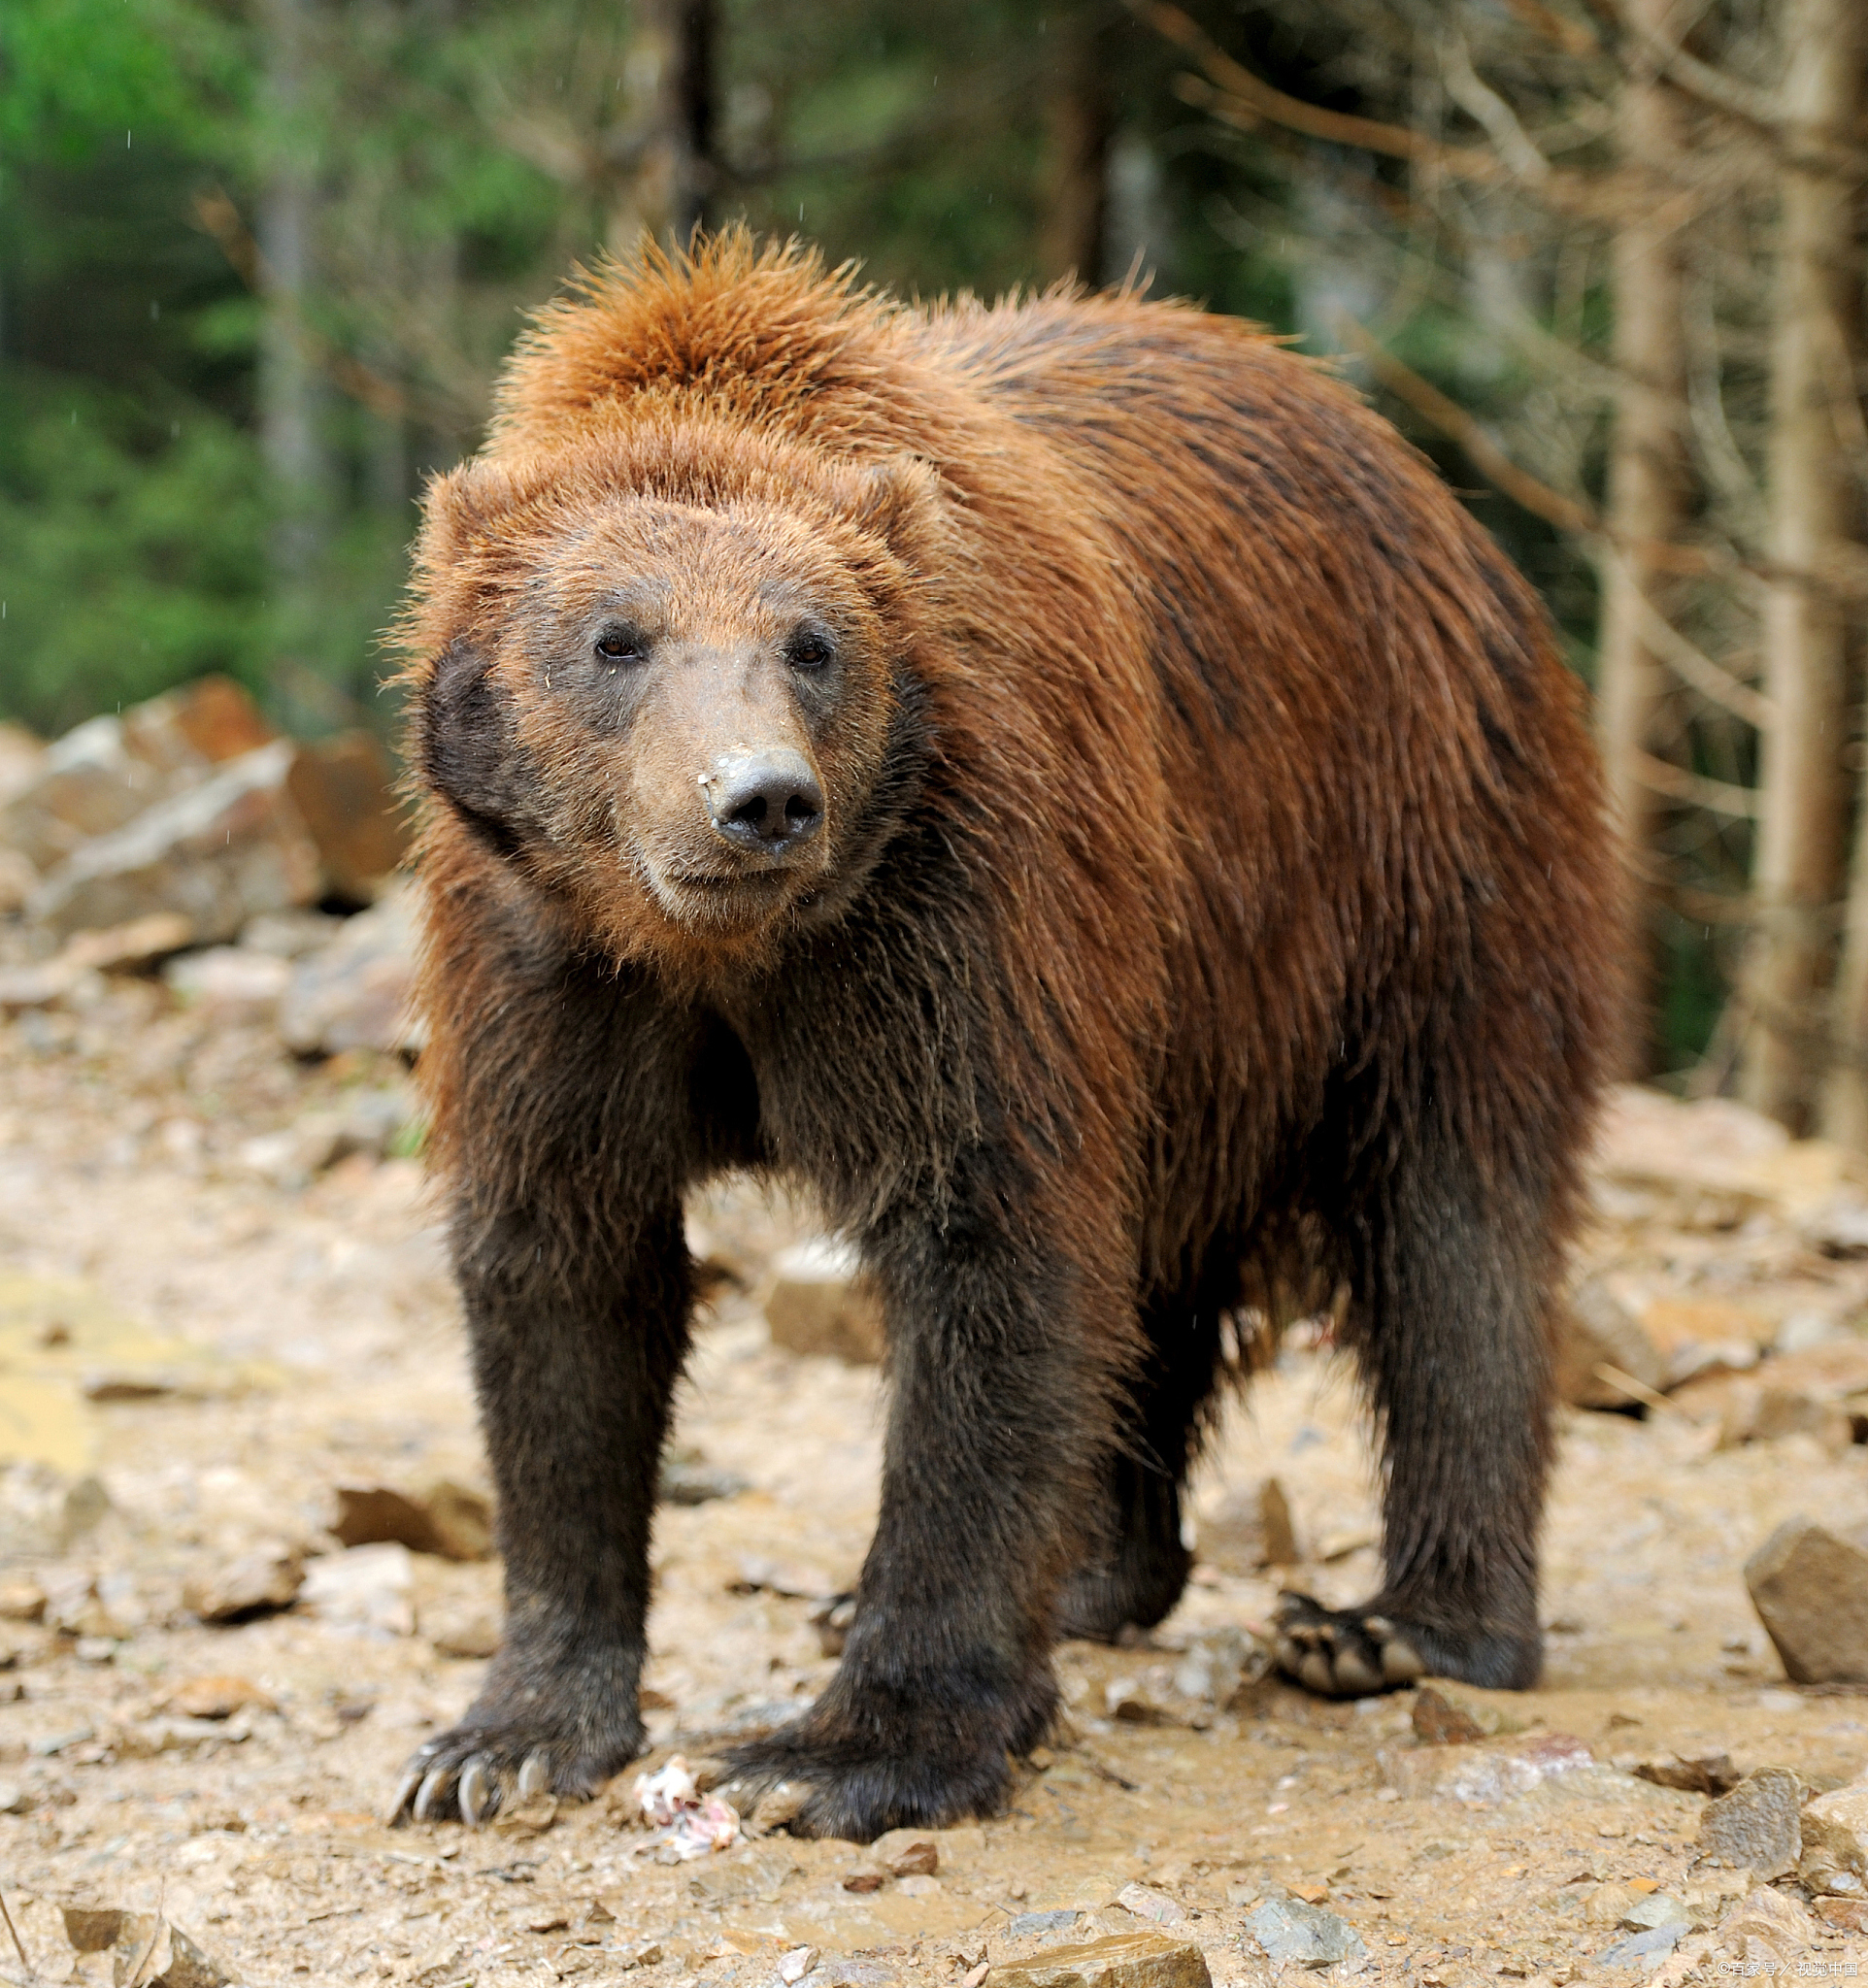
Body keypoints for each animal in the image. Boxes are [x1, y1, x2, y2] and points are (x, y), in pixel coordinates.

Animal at [393, 236, 1622, 1844]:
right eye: (615, 638)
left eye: (814, 642)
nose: (760, 799)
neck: (726, 954)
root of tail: (1439, 503)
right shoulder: (542, 955)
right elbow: (564, 1273)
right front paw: (507, 1734)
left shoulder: (965, 896)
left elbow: (992, 1251)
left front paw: (849, 1748)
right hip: (1205, 1012)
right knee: (1163, 1269)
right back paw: (1107, 1573)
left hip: (1413, 856)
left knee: (1450, 1223)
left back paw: (1398, 1626)